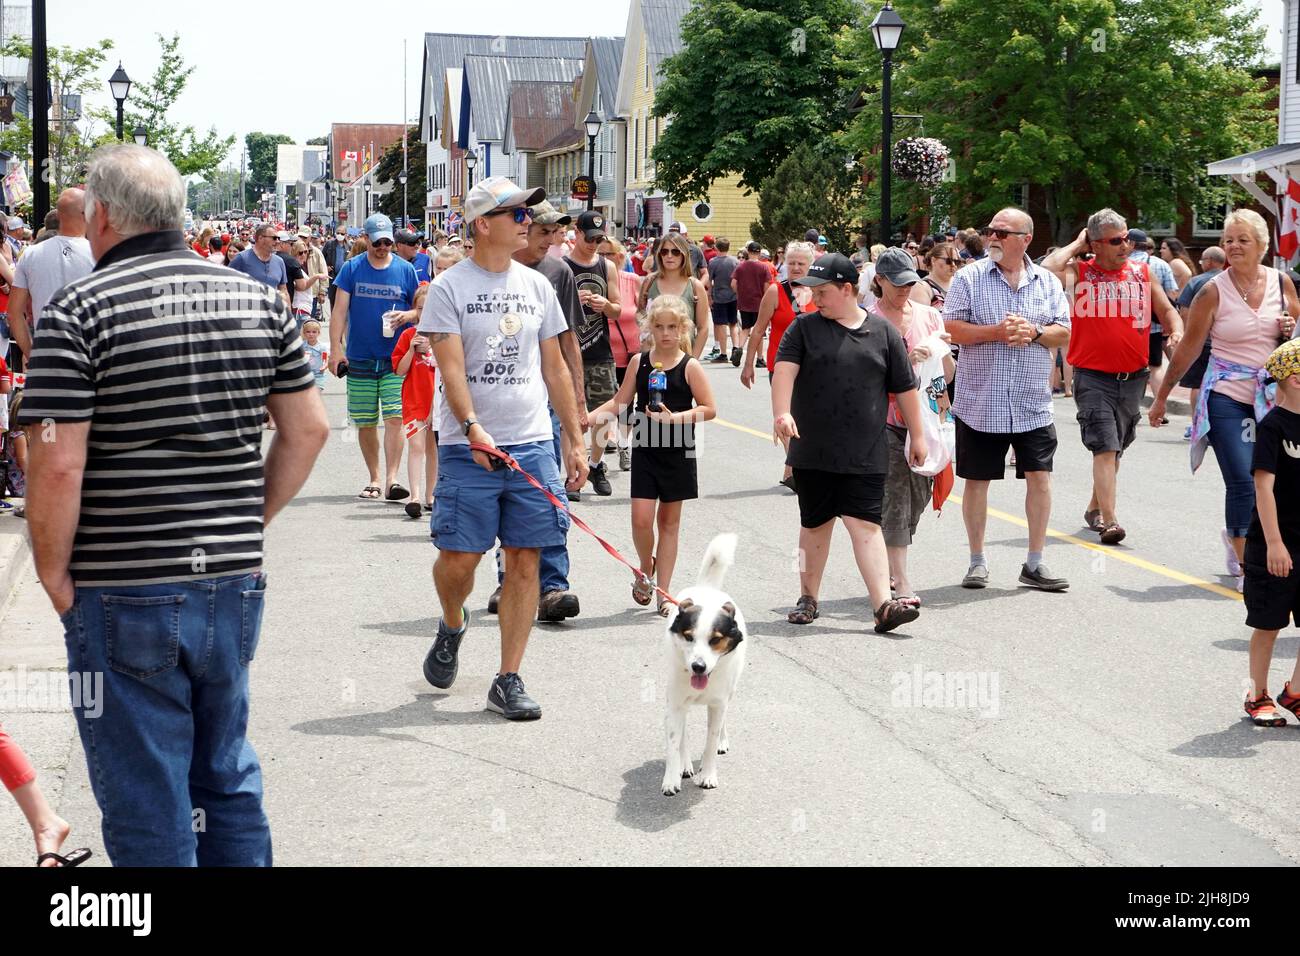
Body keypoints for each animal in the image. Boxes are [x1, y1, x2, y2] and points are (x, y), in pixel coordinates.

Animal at [660, 535, 754, 796]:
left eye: (715, 640)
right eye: (688, 637)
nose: (698, 667)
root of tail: (707, 589)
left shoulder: (718, 703)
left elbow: (711, 740)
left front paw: (709, 774)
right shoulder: (675, 702)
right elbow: (674, 740)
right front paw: (672, 777)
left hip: (730, 691)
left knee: (722, 721)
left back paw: (721, 742)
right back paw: (685, 765)